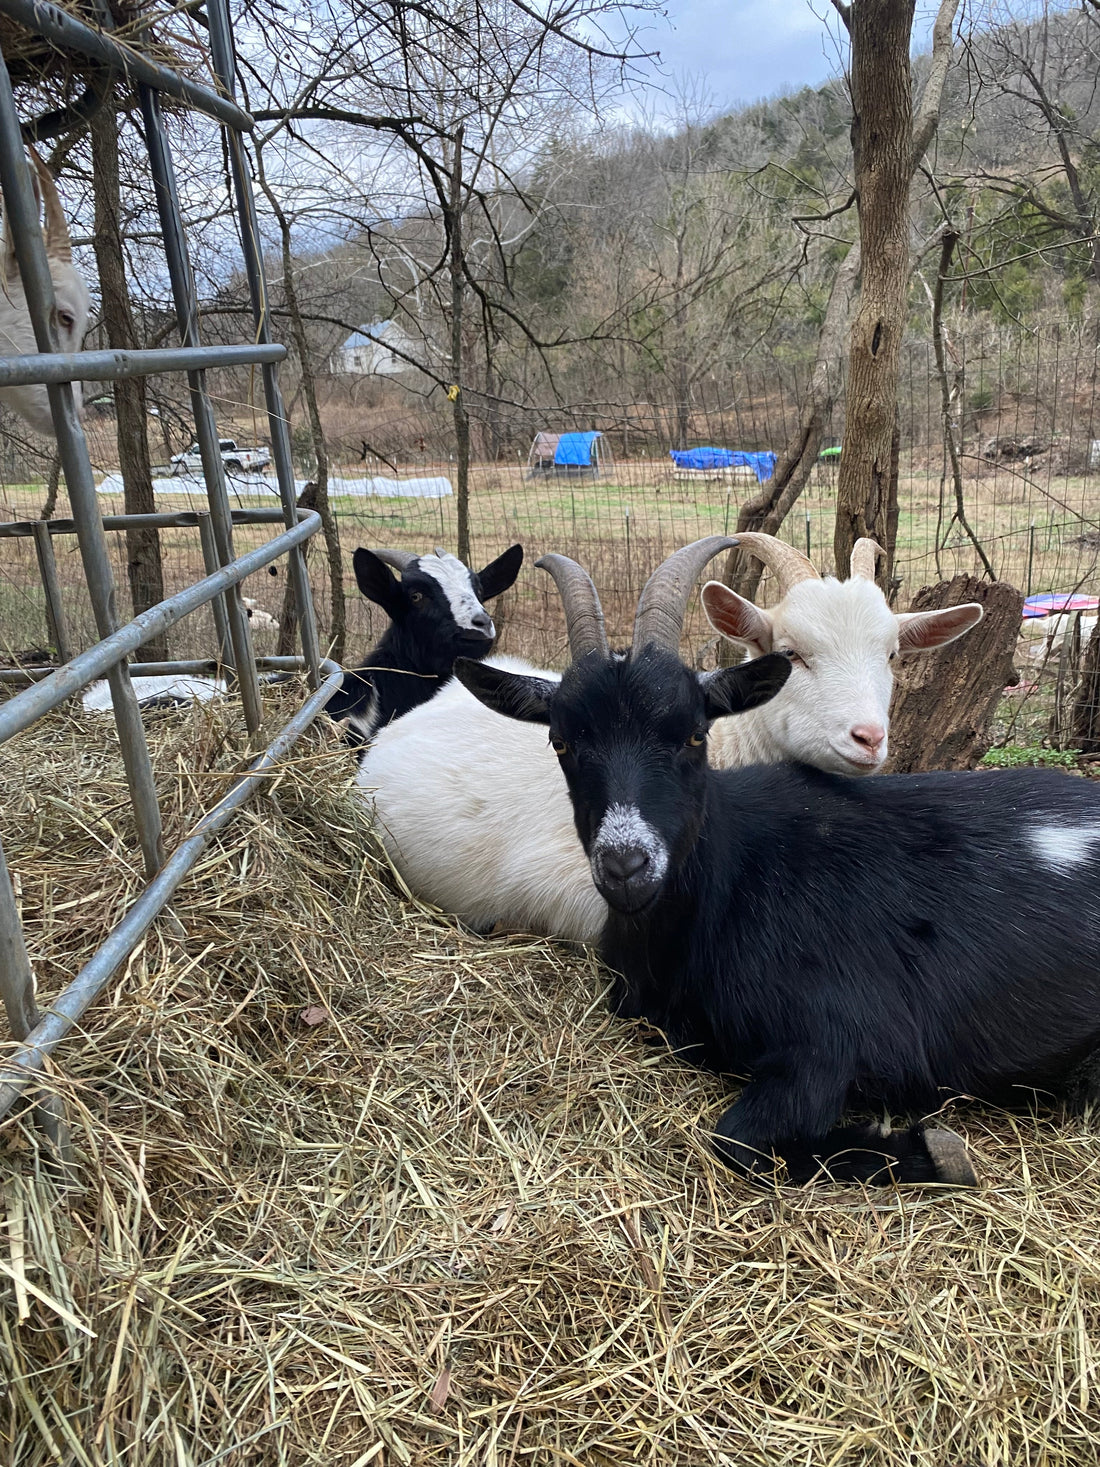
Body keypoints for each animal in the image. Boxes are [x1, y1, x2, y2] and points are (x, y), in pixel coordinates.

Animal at [455, 536, 1100, 1189]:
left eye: (694, 734)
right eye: (560, 740)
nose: (625, 866)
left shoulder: (835, 1034)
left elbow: (736, 1139)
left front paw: (936, 1149)